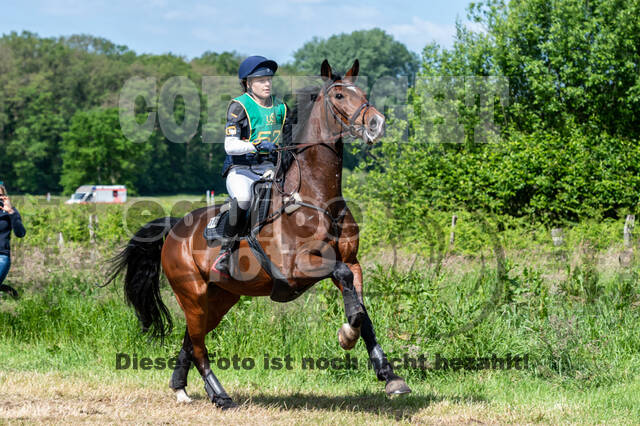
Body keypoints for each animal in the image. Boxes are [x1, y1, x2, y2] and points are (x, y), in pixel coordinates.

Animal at [106, 59, 412, 409]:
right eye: (338, 95)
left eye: (361, 92)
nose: (377, 123)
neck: (319, 199)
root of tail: (174, 228)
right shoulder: (299, 268)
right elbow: (347, 285)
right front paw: (346, 336)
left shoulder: (351, 260)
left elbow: (362, 311)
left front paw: (390, 376)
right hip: (192, 293)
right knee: (198, 344)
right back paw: (220, 395)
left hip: (221, 297)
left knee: (192, 337)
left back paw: (181, 387)